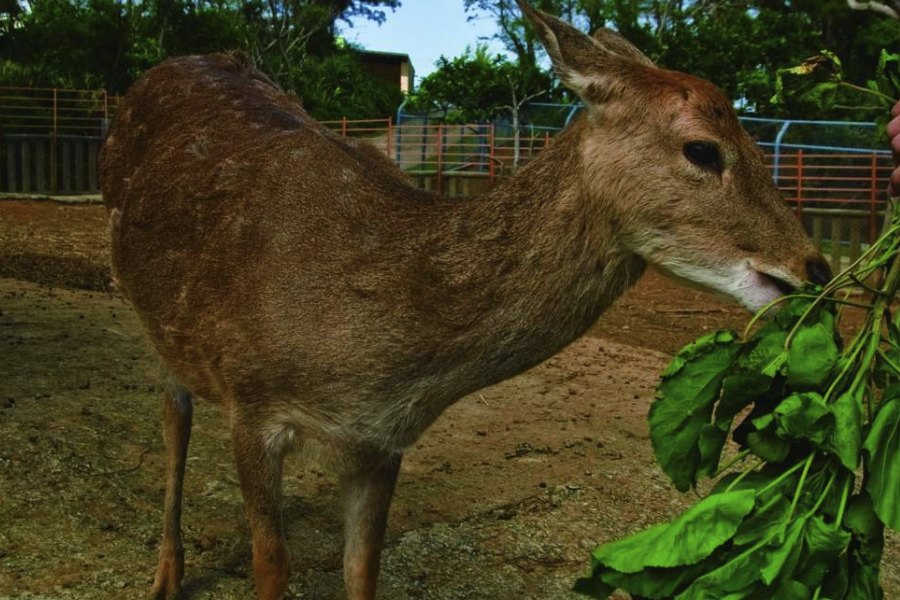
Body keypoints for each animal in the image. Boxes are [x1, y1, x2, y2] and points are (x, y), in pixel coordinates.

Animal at [96, 1, 828, 600]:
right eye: (702, 149)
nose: (814, 266)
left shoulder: (382, 443)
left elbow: (362, 571)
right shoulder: (251, 400)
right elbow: (269, 565)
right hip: (147, 308)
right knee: (173, 416)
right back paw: (165, 575)